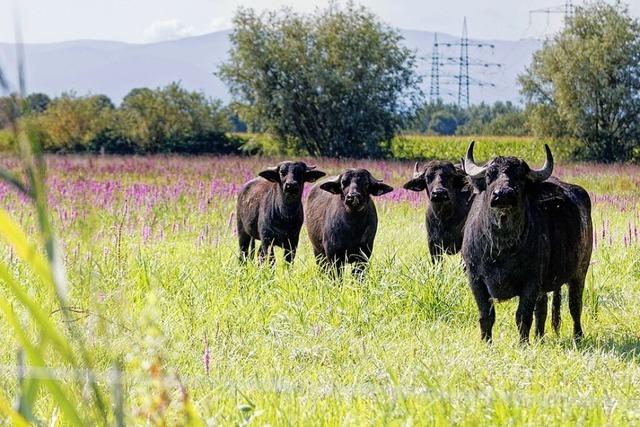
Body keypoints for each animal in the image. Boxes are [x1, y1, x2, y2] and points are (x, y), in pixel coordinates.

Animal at [460, 144, 596, 344]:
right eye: (489, 175)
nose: (504, 194)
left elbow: (523, 316)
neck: (502, 247)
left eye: (520, 177)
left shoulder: (531, 281)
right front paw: (486, 342)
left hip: (580, 270)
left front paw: (523, 343)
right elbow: (486, 315)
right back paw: (539, 337)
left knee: (574, 305)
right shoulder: (475, 279)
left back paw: (577, 337)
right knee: (543, 308)